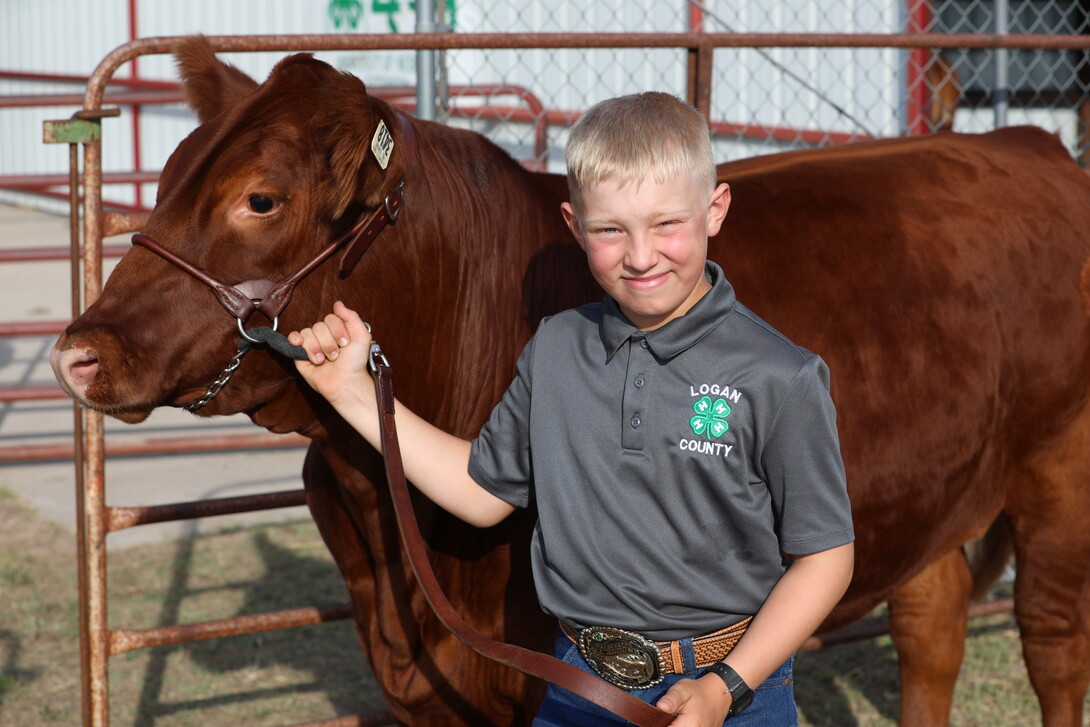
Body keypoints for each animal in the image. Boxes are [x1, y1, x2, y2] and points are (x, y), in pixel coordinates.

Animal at [53, 39, 1090, 727]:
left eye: (259, 199)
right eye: (167, 178)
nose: (79, 352)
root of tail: (1031, 143)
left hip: (1058, 467)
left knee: (1051, 638)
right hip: (921, 490)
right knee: (931, 625)